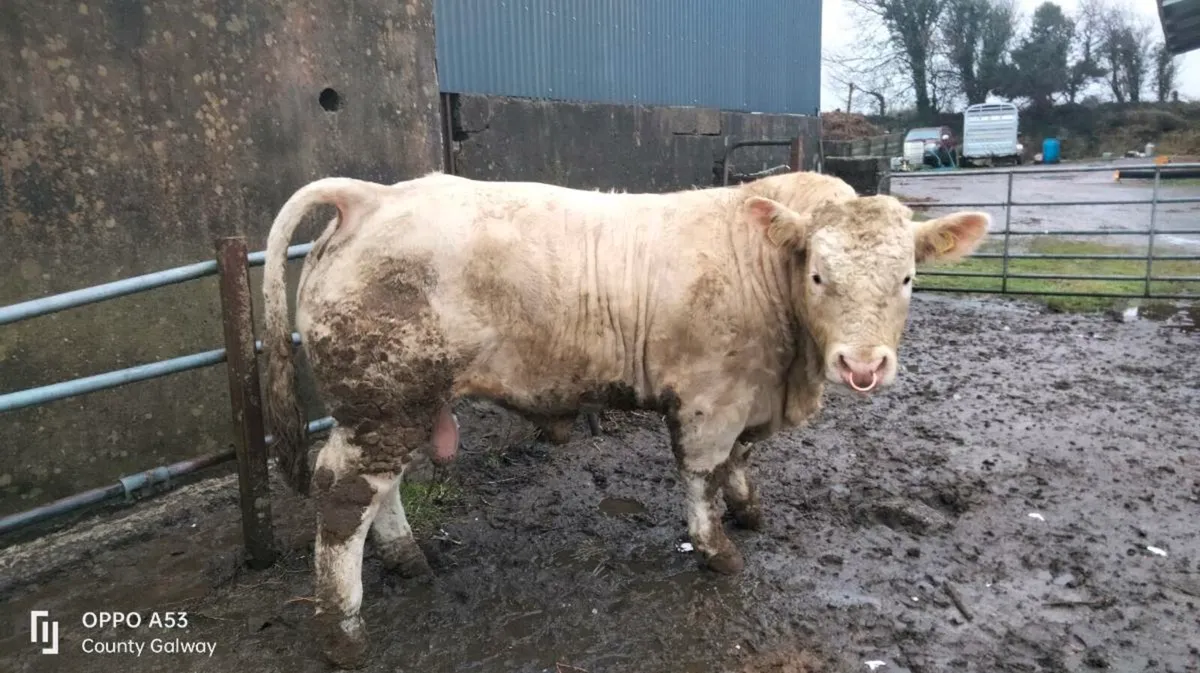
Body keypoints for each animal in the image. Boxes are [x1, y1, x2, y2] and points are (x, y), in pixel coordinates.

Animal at [261, 170, 989, 667]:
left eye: (908, 279)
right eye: (818, 275)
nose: (862, 364)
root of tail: (372, 195)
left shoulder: (749, 398)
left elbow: (740, 460)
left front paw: (748, 508)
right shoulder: (709, 397)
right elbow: (701, 474)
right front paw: (717, 548)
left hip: (393, 406)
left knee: (379, 491)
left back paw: (411, 560)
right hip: (384, 400)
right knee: (342, 495)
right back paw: (342, 630)